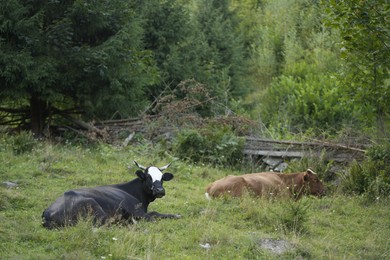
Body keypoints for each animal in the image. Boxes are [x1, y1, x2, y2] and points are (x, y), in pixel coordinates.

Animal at [42, 161, 181, 229]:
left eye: (162, 178)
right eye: (148, 177)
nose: (160, 190)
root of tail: (47, 214)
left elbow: (155, 213)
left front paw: (176, 215)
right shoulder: (136, 211)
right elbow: (153, 217)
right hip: (94, 207)